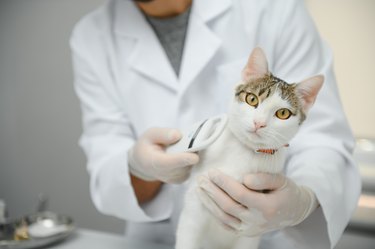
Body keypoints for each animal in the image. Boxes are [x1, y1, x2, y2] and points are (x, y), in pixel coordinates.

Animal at [175, 47, 324, 249]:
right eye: (252, 99)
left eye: (282, 113)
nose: (259, 123)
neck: (245, 151)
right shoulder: (195, 204)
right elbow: (188, 234)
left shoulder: (252, 225)